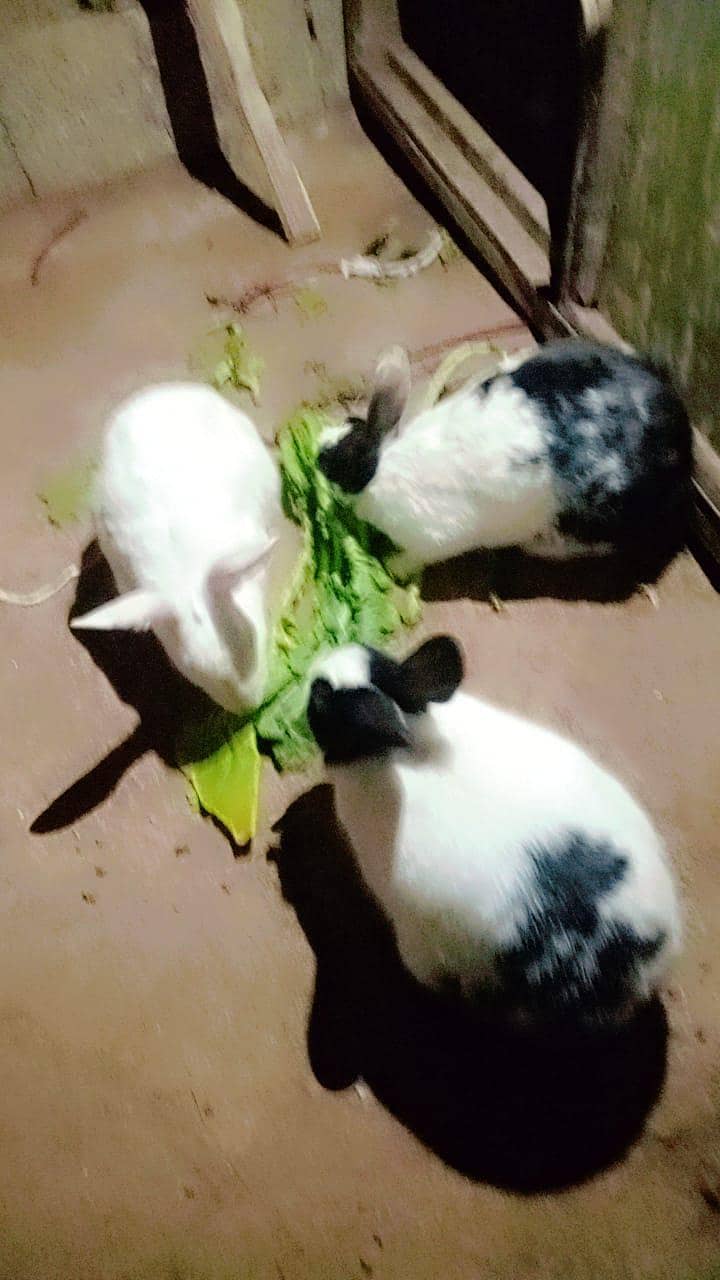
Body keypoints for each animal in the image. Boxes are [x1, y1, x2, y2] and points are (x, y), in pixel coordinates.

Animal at [317, 340, 693, 574]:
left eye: (340, 462)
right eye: (349, 422)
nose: (316, 455)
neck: (385, 466)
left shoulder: (434, 540)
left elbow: (415, 558)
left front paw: (394, 569)